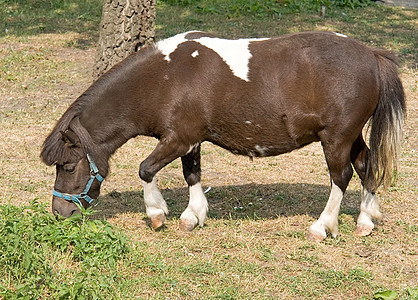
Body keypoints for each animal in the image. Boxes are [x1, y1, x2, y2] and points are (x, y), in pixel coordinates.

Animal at [40, 31, 404, 241]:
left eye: (68, 166)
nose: (60, 213)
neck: (165, 79)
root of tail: (373, 56)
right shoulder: (190, 140)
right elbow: (192, 175)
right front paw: (193, 216)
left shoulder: (177, 139)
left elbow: (145, 169)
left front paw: (157, 214)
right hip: (351, 137)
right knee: (367, 166)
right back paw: (366, 220)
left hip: (336, 139)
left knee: (341, 177)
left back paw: (322, 226)